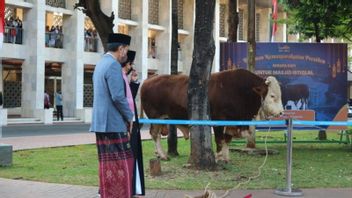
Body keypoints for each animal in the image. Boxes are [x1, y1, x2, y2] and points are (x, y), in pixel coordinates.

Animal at [141, 69, 284, 161]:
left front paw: (226, 157)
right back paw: (163, 155)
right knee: (154, 134)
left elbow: (227, 139)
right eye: (272, 95)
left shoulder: (231, 122)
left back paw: (159, 154)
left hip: (161, 118)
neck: (240, 90)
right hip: (155, 117)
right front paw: (219, 157)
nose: (281, 112)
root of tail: (149, 80)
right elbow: (220, 139)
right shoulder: (218, 120)